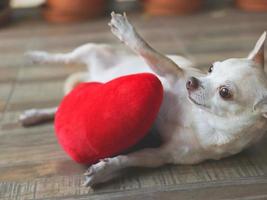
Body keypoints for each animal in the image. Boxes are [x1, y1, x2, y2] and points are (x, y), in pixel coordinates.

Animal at [20, 12, 267, 187]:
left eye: (225, 92)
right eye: (211, 68)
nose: (191, 82)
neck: (202, 119)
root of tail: (94, 77)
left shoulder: (161, 155)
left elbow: (129, 158)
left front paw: (104, 170)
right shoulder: (171, 74)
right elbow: (152, 53)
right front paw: (128, 32)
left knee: (59, 108)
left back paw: (34, 114)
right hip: (89, 50)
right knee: (64, 58)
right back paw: (36, 56)